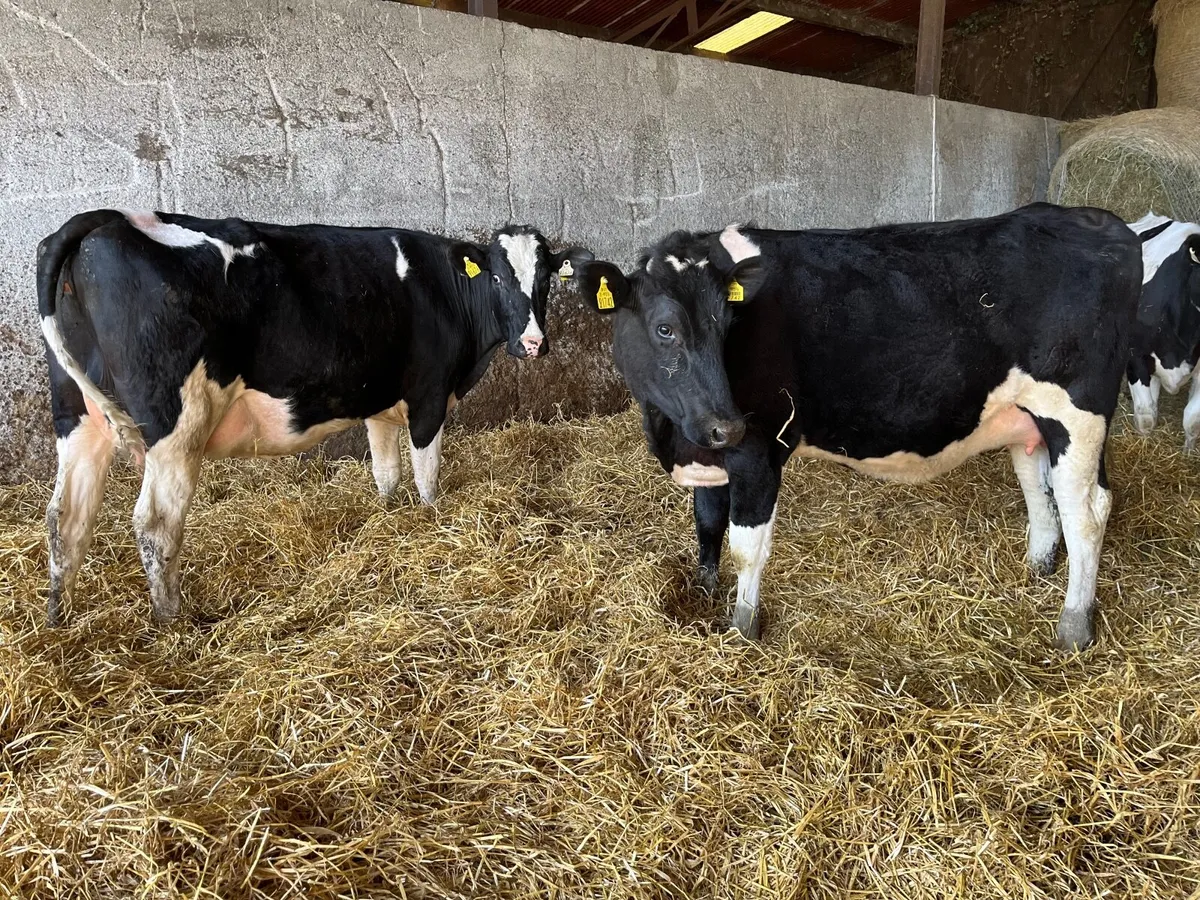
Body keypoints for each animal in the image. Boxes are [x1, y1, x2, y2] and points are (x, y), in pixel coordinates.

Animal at [36, 208, 593, 626]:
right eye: (497, 276)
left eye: (546, 280)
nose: (533, 343)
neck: (445, 288)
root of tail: (111, 219)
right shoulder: (429, 397)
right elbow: (427, 479)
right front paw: (433, 523)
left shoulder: (379, 402)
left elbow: (386, 473)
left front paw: (387, 519)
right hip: (176, 425)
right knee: (156, 523)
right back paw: (173, 624)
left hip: (77, 414)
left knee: (66, 518)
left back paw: (60, 621)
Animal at [575, 203, 1143, 651]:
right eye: (664, 329)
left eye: (727, 325)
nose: (726, 423)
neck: (673, 434)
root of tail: (1102, 222)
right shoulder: (708, 452)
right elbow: (708, 525)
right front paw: (703, 595)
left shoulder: (758, 449)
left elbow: (745, 546)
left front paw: (742, 629)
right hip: (1030, 416)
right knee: (1039, 486)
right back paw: (1036, 567)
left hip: (1078, 414)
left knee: (1087, 511)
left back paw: (1074, 627)